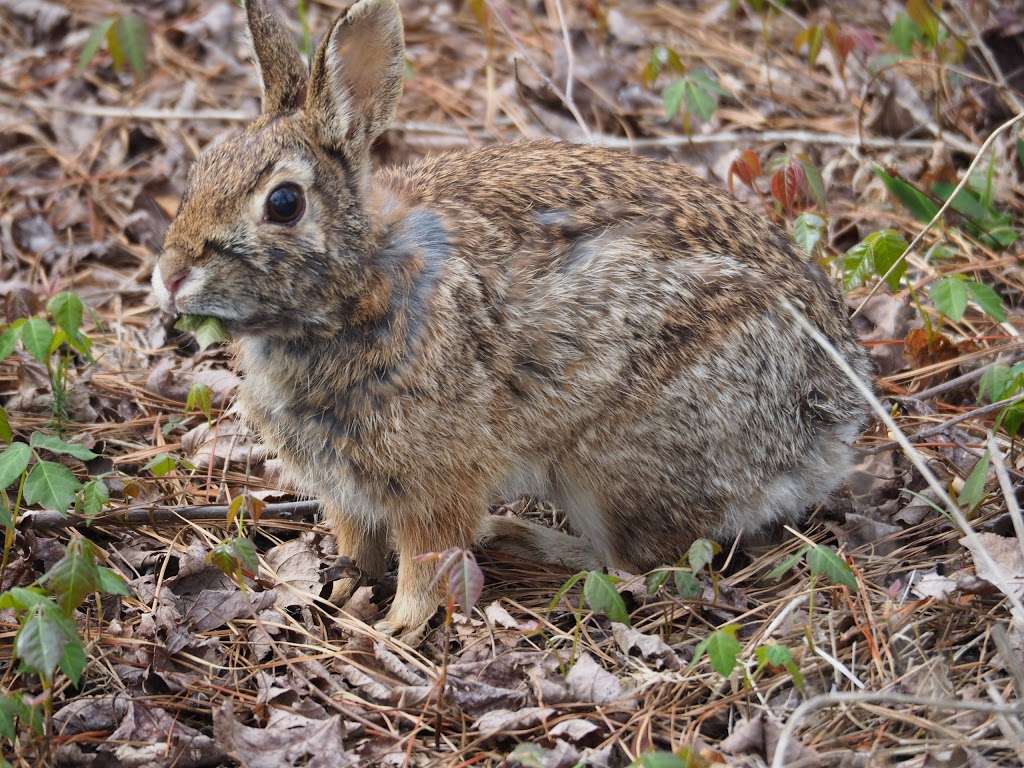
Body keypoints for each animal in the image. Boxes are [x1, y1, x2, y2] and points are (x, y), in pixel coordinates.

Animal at [151, 0, 872, 643]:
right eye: (204, 164)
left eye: (284, 203)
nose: (171, 274)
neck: (359, 290)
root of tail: (828, 422)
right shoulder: (348, 493)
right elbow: (358, 542)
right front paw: (342, 584)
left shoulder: (436, 482)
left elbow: (428, 560)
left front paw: (396, 627)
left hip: (620, 461)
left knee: (627, 559)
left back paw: (522, 539)